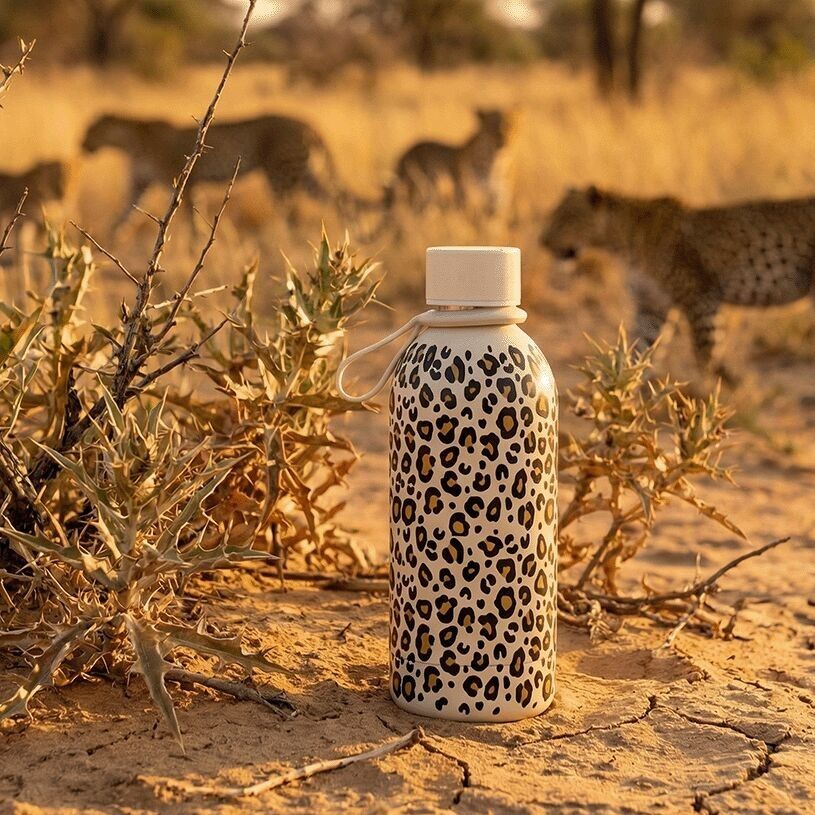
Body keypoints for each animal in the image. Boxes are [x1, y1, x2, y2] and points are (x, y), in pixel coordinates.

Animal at [81, 113, 351, 231]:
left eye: (89, 131)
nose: (81, 144)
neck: (129, 142)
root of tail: (308, 123)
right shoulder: (139, 187)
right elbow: (123, 216)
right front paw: (105, 239)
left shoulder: (186, 184)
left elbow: (191, 221)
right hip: (304, 173)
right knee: (339, 199)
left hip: (281, 175)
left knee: (292, 212)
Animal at [541, 185, 815, 379]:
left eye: (566, 218)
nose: (542, 241)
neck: (622, 242)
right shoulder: (651, 306)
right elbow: (641, 352)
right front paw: (628, 394)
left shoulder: (700, 298)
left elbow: (705, 355)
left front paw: (721, 393)